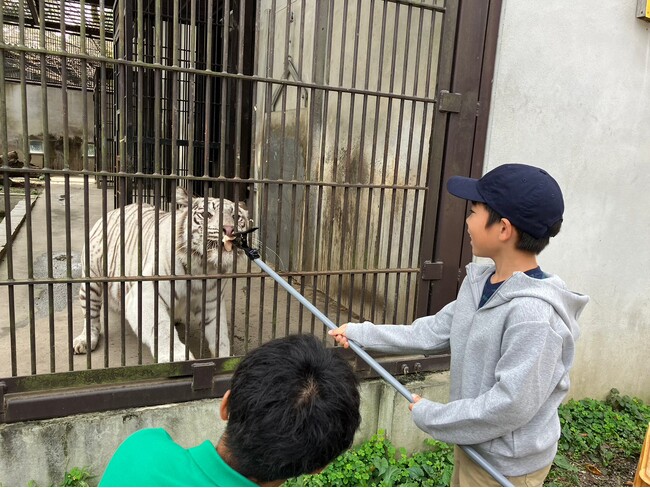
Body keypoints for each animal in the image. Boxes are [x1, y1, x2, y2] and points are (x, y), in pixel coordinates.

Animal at [73, 187, 248, 362]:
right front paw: (177, 358)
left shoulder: (212, 302)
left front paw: (227, 357)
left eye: (236, 217)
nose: (230, 229)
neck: (204, 266)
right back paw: (84, 341)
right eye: (206, 214)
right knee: (91, 317)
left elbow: (221, 335)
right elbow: (161, 328)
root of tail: (113, 211)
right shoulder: (145, 294)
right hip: (91, 282)